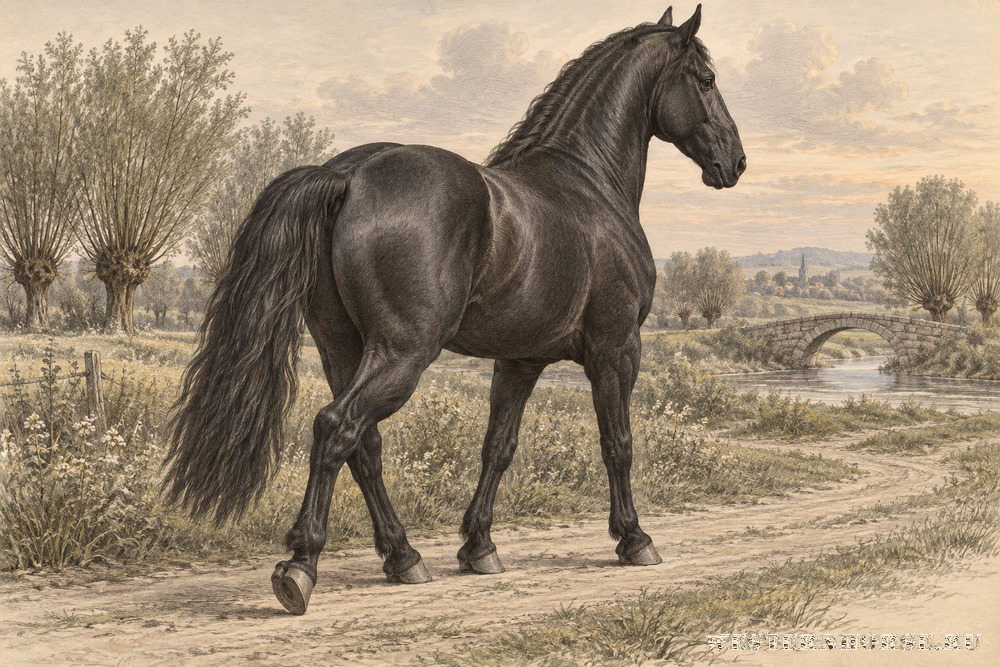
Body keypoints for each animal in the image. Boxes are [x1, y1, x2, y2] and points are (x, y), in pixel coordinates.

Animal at [164, 4, 745, 615]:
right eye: (707, 80)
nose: (736, 162)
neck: (588, 186)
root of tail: (348, 175)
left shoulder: (519, 361)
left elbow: (498, 448)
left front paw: (478, 546)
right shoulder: (616, 352)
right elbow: (619, 446)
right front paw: (634, 539)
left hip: (344, 349)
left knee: (364, 445)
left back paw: (403, 557)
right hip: (403, 353)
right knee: (337, 428)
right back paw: (301, 565)